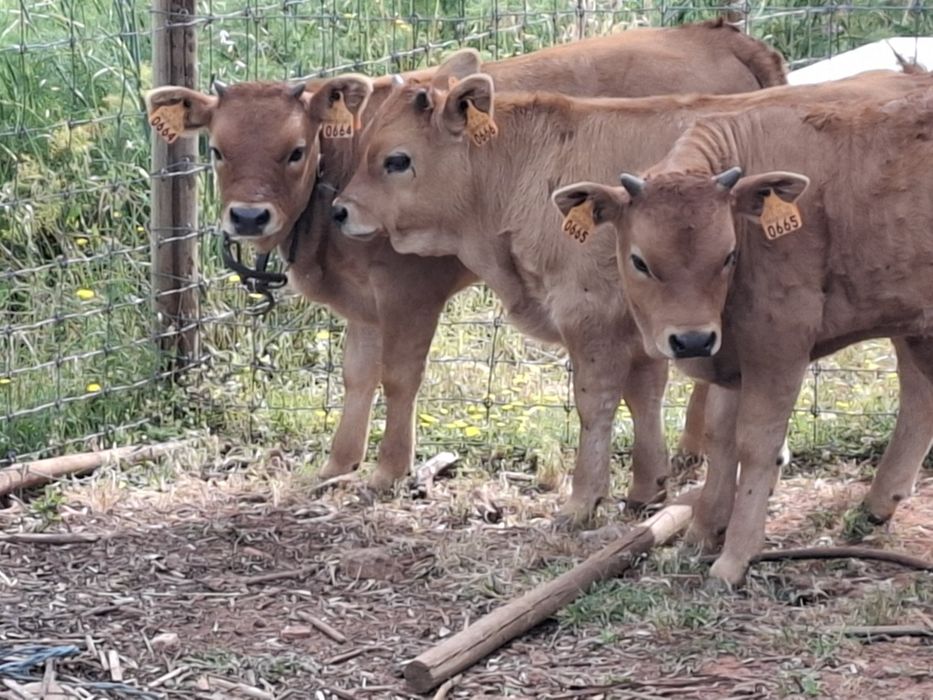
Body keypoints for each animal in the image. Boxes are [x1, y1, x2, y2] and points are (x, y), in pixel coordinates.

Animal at [146, 19, 787, 499]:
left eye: (295, 150)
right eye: (216, 150)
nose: (248, 217)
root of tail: (719, 33)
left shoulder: (409, 293)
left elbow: (398, 378)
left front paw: (387, 470)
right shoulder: (363, 306)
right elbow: (357, 377)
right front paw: (337, 464)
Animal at [332, 64, 933, 525]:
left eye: (396, 159)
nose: (339, 210)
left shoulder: (588, 314)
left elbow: (595, 403)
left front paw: (581, 502)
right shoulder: (644, 324)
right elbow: (644, 395)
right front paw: (648, 487)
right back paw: (879, 500)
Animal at [547, 83, 933, 582]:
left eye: (728, 256)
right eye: (640, 261)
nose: (691, 340)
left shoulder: (780, 344)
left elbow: (756, 443)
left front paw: (734, 555)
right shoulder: (731, 356)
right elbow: (719, 436)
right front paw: (701, 532)